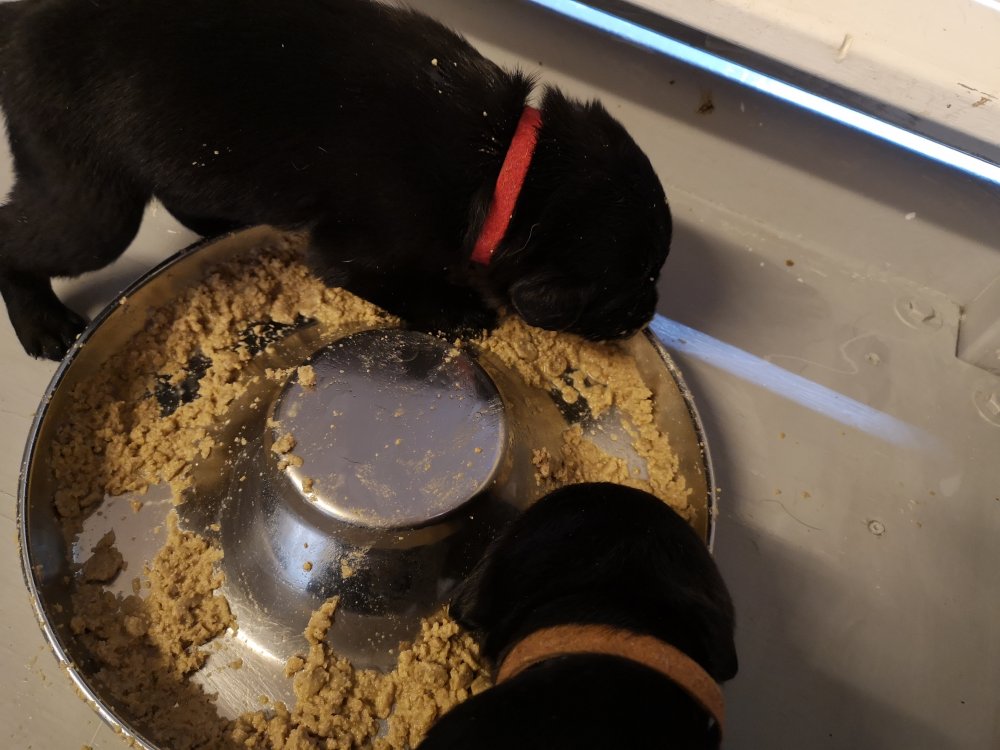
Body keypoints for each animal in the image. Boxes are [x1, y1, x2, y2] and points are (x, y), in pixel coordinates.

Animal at [0, 0, 672, 360]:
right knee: (19, 235)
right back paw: (42, 324)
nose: (651, 311)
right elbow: (401, 286)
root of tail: (19, 21)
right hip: (90, 203)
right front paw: (460, 312)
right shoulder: (358, 254)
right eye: (633, 285)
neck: (507, 161)